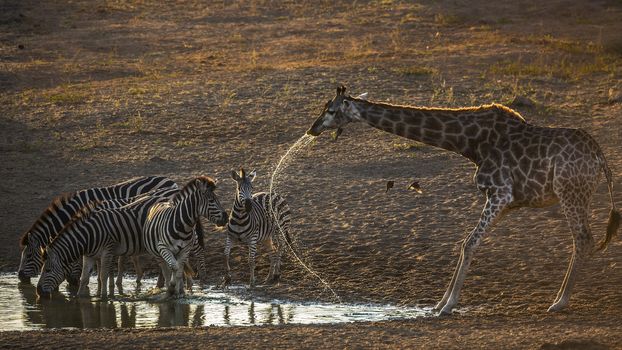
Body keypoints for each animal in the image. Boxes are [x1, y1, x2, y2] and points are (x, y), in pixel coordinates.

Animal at [306, 85, 620, 314]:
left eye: (330, 110)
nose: (312, 129)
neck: (469, 142)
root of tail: (599, 157)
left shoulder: (500, 192)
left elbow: (469, 243)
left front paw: (448, 305)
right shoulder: (507, 201)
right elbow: (466, 242)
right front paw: (439, 303)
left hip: (570, 193)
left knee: (584, 239)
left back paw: (559, 302)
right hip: (576, 195)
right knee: (585, 240)